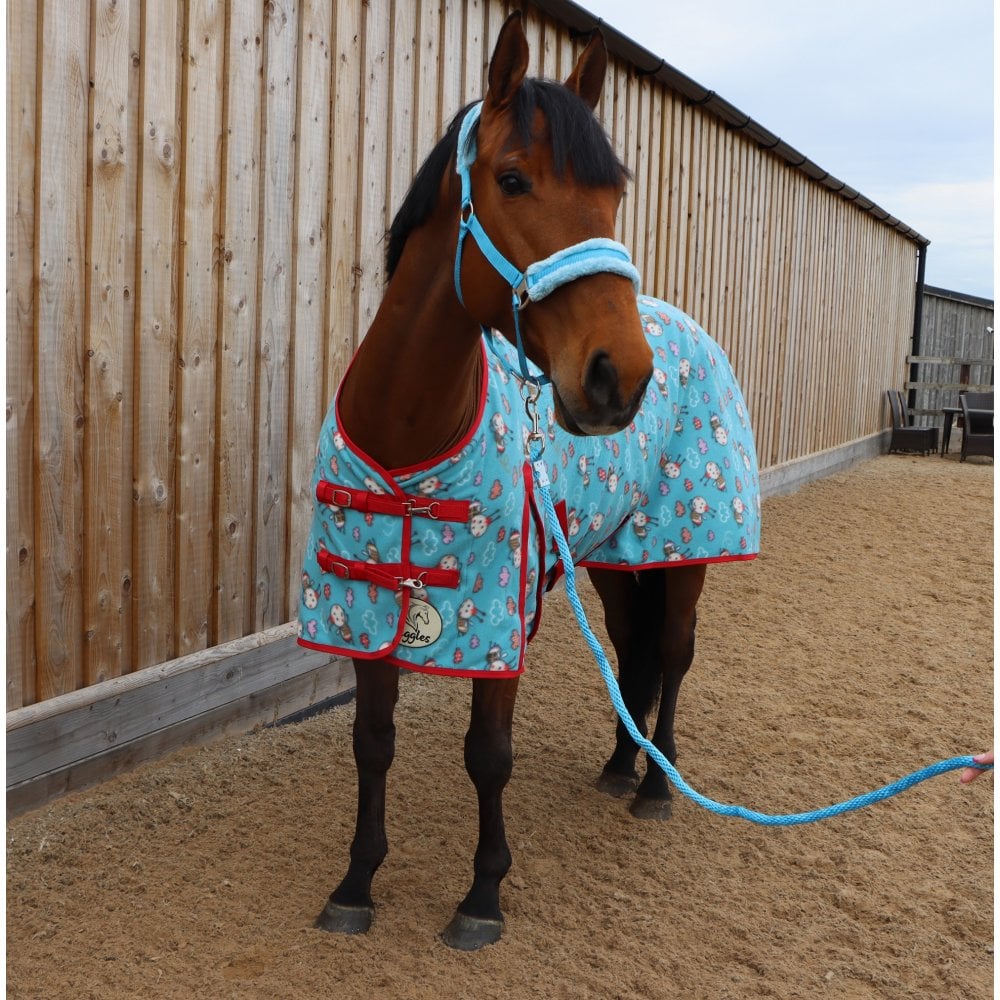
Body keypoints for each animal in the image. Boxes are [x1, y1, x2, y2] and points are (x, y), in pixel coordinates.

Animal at [297, 12, 760, 951]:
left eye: (613, 197)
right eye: (512, 179)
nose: (620, 376)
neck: (409, 431)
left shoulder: (498, 619)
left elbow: (488, 756)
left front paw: (482, 894)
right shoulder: (365, 610)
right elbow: (373, 739)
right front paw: (357, 883)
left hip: (683, 554)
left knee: (672, 652)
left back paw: (656, 787)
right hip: (615, 562)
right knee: (631, 649)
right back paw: (620, 765)